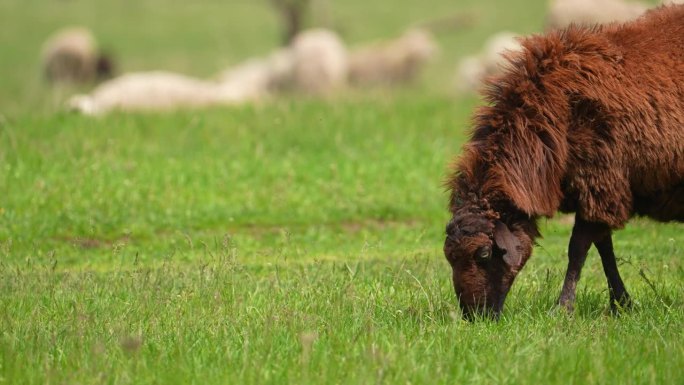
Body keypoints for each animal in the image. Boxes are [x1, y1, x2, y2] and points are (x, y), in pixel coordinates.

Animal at [444, 5, 684, 318]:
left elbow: (578, 248)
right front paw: (621, 303)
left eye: (484, 253)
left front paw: (563, 308)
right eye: (450, 258)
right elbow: (604, 247)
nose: (474, 317)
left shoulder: (600, 184)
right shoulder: (598, 193)